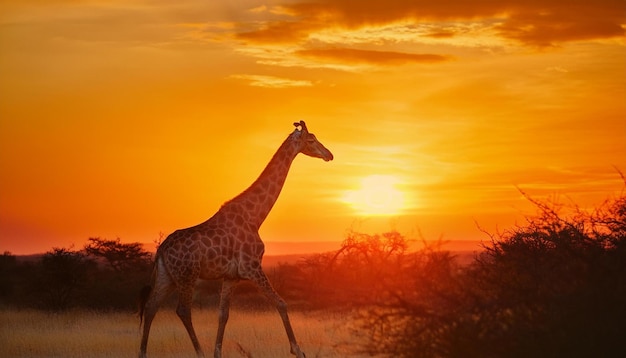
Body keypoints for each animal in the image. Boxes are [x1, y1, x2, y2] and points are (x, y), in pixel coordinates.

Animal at [136, 121, 332, 358]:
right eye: (311, 139)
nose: (329, 154)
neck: (255, 217)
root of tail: (161, 250)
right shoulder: (252, 267)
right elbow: (281, 303)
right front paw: (297, 350)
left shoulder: (231, 276)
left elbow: (223, 315)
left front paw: (217, 353)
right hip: (186, 276)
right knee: (182, 311)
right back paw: (199, 352)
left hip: (168, 277)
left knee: (150, 307)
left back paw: (143, 353)